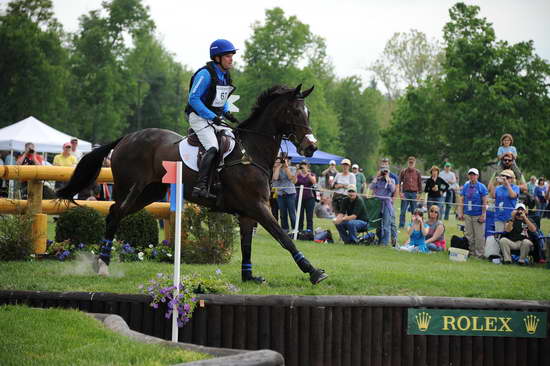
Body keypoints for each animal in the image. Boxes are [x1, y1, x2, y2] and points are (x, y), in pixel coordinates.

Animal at [57, 85, 328, 284]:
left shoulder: (248, 213)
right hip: (129, 188)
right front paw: (313, 271)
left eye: (308, 113)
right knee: (114, 214)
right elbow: (284, 237)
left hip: (149, 193)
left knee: (117, 213)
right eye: (295, 112)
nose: (311, 147)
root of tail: (127, 137)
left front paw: (249, 276)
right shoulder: (258, 206)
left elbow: (247, 245)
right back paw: (103, 265)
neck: (251, 152)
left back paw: (100, 263)